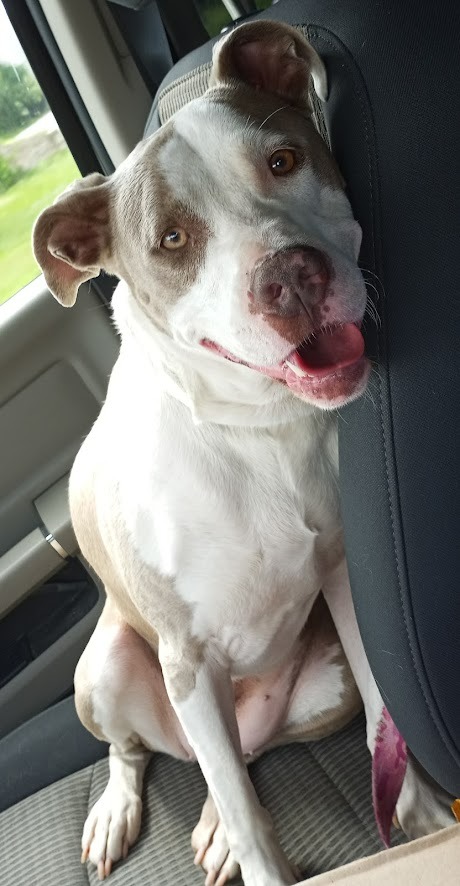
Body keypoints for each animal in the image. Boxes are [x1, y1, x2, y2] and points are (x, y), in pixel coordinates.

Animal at [33, 20, 455, 886]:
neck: (257, 433)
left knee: (238, 763)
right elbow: (252, 818)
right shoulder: (188, 658)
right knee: (162, 756)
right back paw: (120, 809)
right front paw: (254, 853)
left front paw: (426, 822)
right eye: (171, 240)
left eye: (284, 161)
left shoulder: (348, 579)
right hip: (108, 670)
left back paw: (213, 824)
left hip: (313, 689)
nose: (289, 277)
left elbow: (384, 710)